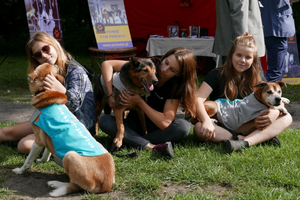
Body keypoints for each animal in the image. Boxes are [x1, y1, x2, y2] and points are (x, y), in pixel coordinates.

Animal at [12, 63, 115, 197]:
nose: (55, 63)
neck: (47, 91)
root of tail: (106, 185)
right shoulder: (48, 137)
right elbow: (47, 153)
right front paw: (42, 160)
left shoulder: (38, 141)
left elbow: (28, 161)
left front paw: (20, 171)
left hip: (69, 155)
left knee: (75, 185)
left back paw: (56, 184)